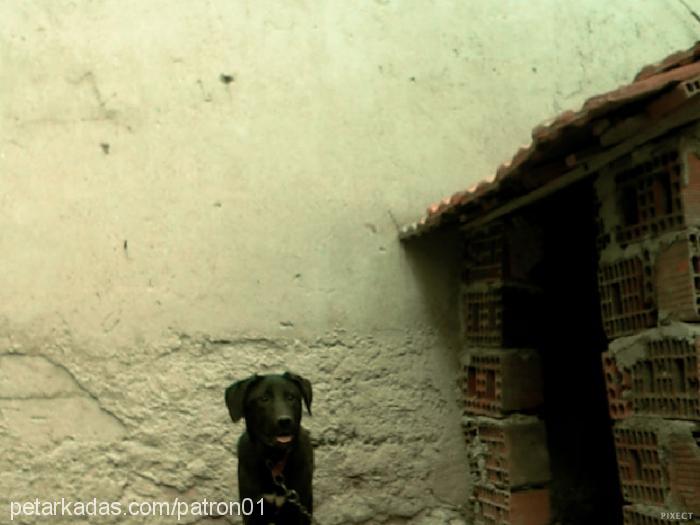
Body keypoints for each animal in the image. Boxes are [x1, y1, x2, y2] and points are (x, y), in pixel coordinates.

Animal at [226, 370, 314, 520]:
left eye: (291, 397)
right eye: (264, 398)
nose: (285, 421)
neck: (274, 457)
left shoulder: (299, 509)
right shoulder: (252, 509)